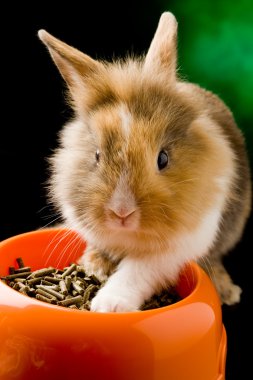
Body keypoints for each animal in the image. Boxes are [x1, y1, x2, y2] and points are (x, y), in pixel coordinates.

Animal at [37, 11, 251, 314]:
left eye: (163, 158)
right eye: (97, 155)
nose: (121, 212)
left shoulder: (176, 247)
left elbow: (138, 269)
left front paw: (109, 304)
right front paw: (94, 266)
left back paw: (227, 291)